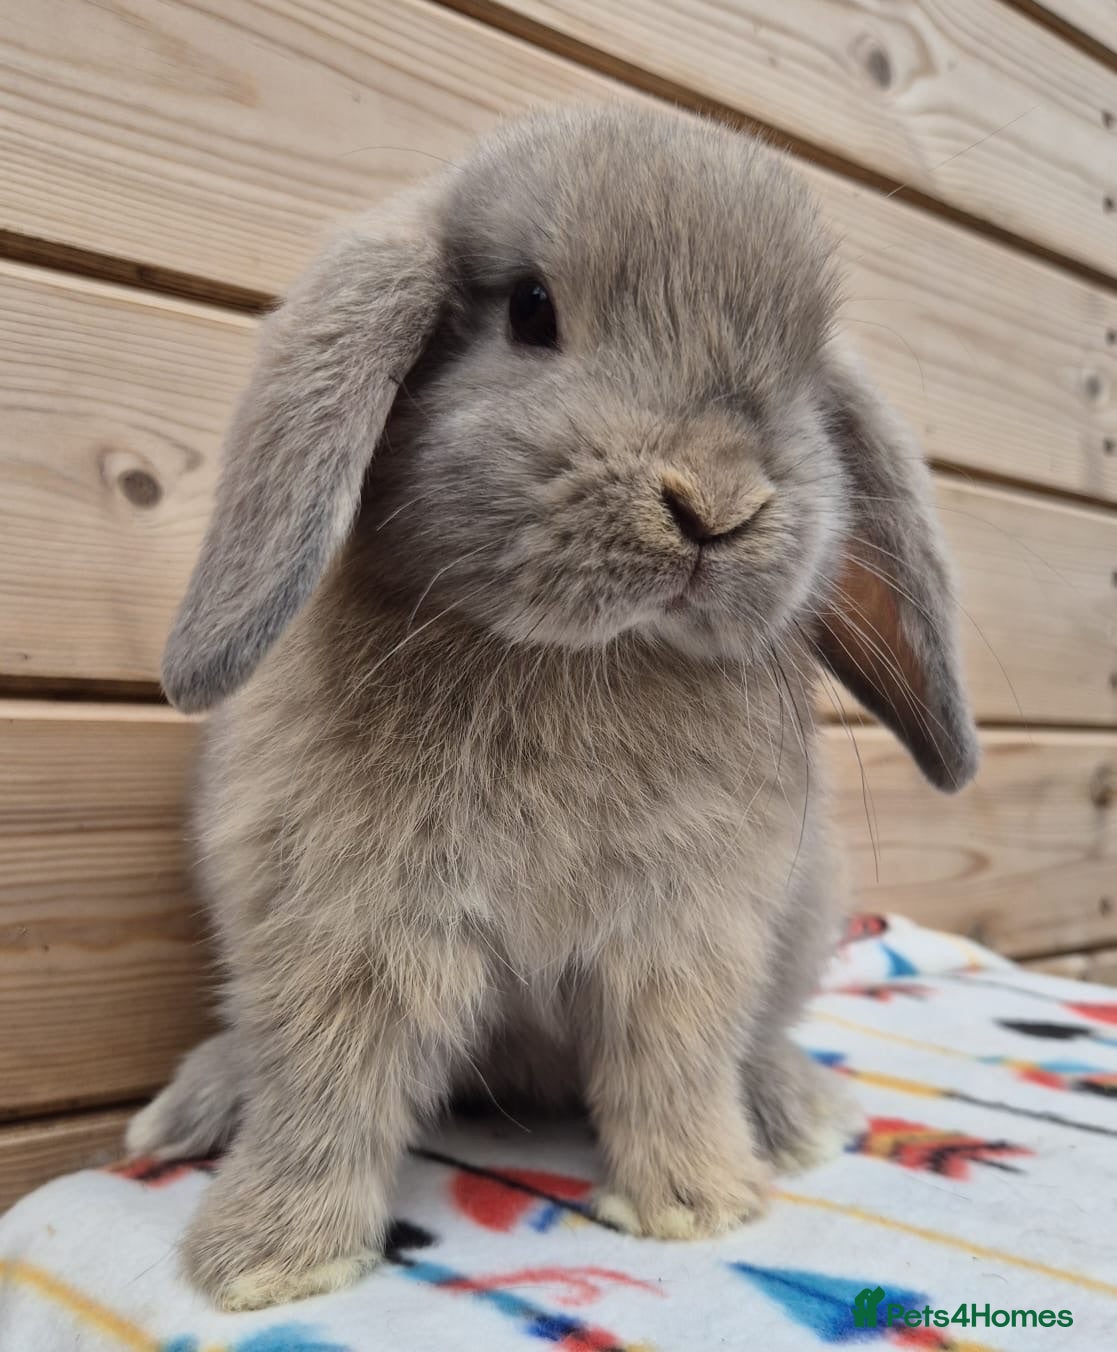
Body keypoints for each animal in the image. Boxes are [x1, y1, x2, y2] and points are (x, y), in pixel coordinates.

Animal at [126, 101, 978, 1311]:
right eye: (531, 310)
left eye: (806, 375)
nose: (715, 504)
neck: (582, 659)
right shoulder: (349, 927)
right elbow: (328, 1083)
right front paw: (269, 1265)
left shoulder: (685, 936)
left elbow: (673, 1066)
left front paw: (697, 1205)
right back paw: (194, 1107)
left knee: (752, 1043)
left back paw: (796, 1113)